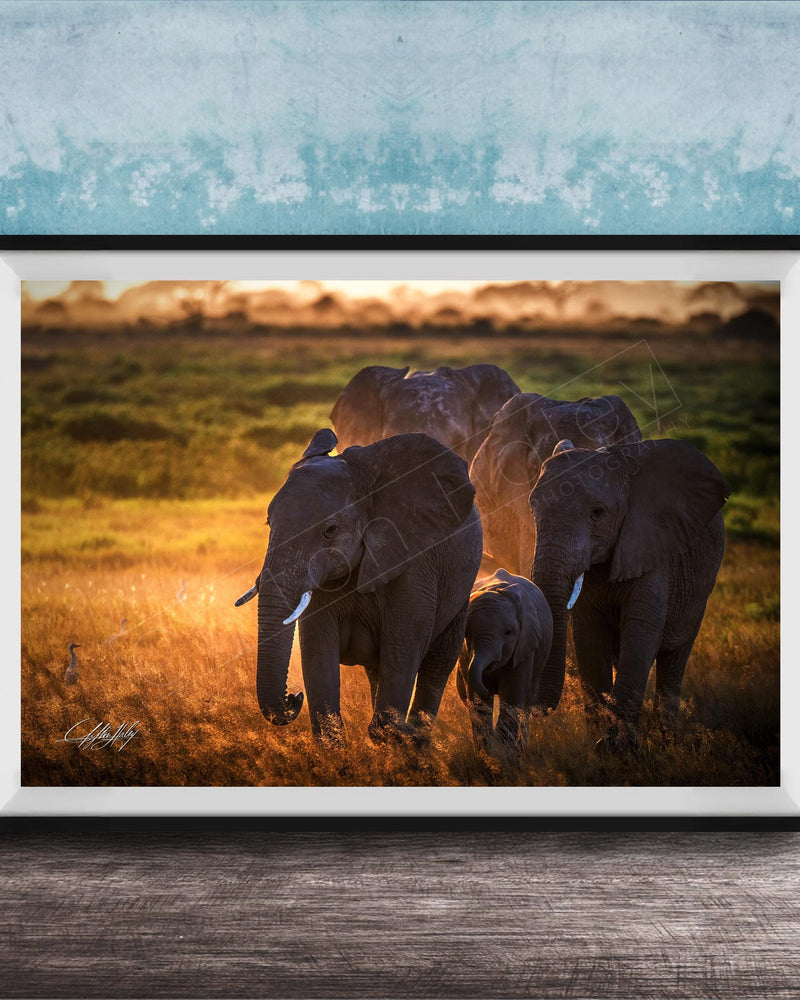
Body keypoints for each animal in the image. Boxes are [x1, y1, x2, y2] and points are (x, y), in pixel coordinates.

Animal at [235, 427, 483, 743]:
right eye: (269, 524)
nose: (294, 697)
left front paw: (391, 738)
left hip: (461, 589)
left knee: (437, 664)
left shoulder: (414, 559)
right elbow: (318, 649)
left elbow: (402, 647)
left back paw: (418, 738)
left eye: (330, 531)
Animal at [456, 569, 552, 753]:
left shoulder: (524, 645)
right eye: (467, 634)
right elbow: (478, 704)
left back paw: (522, 749)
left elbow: (512, 697)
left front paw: (504, 754)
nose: (487, 689)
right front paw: (487, 753)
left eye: (508, 632)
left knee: (526, 702)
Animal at [528, 438, 730, 746]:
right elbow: (588, 635)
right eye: (533, 510)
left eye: (597, 513)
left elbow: (641, 630)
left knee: (675, 657)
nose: (534, 711)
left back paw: (668, 738)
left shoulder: (653, 544)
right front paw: (599, 738)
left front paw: (617, 746)